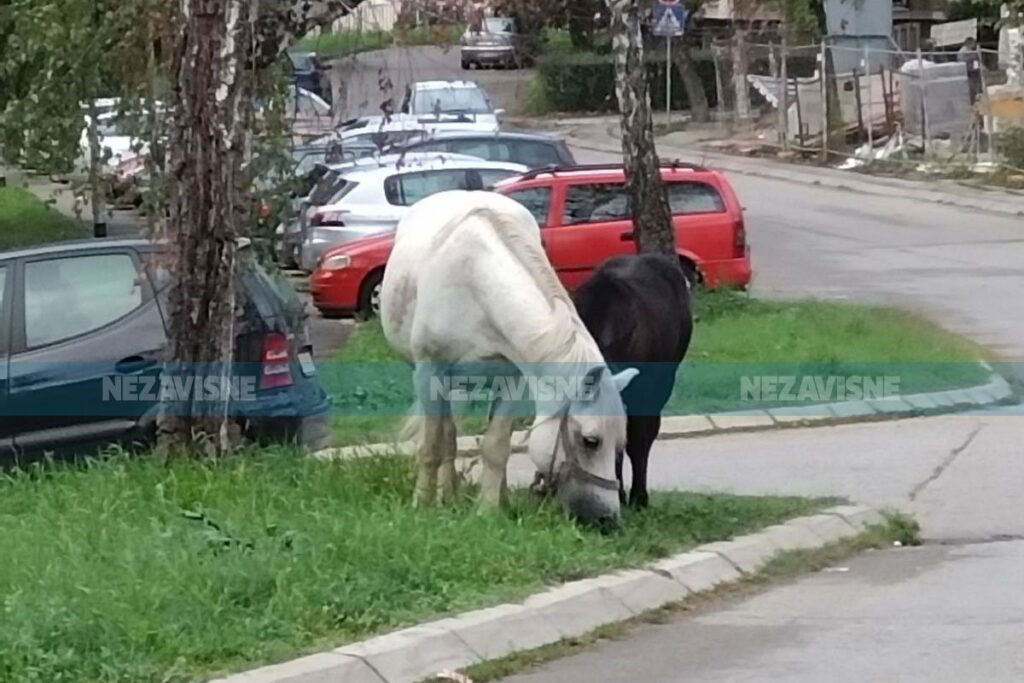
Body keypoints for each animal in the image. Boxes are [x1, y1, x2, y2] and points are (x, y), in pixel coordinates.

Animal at [380, 189, 634, 532]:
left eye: (620, 445)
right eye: (590, 441)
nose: (608, 520)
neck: (477, 285)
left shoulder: (512, 380)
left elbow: (496, 447)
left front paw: (488, 511)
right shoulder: (429, 374)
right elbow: (432, 446)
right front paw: (422, 505)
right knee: (446, 436)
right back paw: (446, 495)